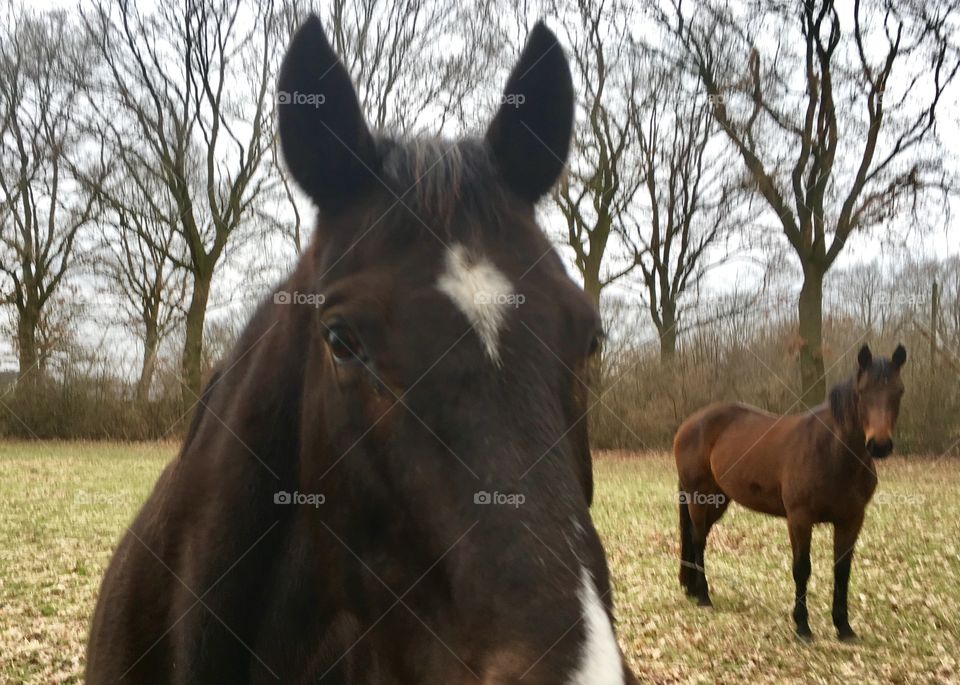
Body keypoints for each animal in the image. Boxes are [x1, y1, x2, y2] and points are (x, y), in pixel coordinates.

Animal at [676, 344, 908, 640]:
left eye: (899, 391)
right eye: (862, 391)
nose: (879, 445)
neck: (832, 453)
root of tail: (690, 423)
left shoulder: (851, 521)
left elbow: (842, 571)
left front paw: (843, 627)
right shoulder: (799, 519)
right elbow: (802, 569)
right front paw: (802, 626)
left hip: (718, 500)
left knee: (697, 536)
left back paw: (694, 589)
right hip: (699, 497)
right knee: (698, 540)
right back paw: (704, 596)